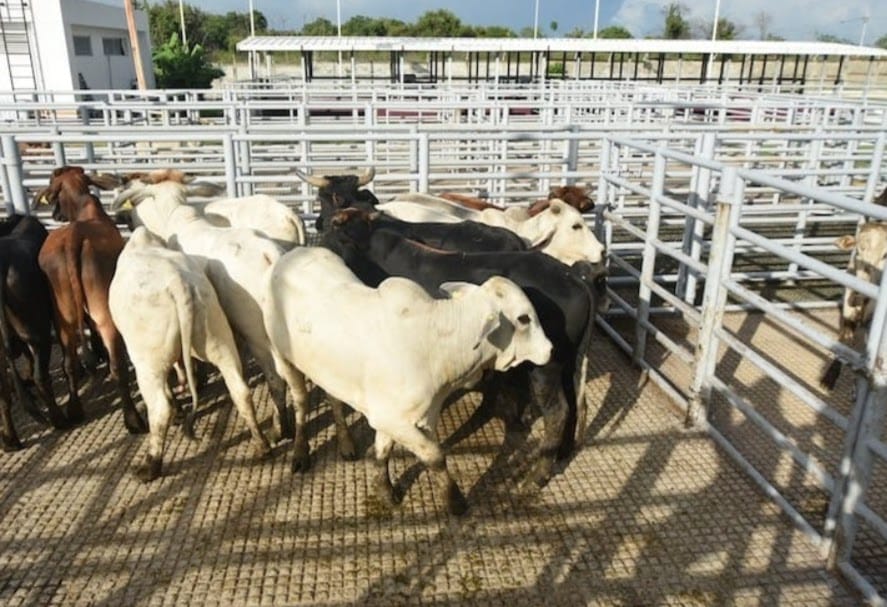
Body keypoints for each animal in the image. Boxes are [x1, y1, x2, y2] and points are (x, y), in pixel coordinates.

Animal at [34, 166, 147, 434]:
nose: (55, 214)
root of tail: (73, 239)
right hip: (97, 311)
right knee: (113, 365)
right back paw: (131, 418)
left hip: (63, 314)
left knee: (71, 362)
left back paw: (76, 411)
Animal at [109, 227, 272, 481]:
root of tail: (180, 284)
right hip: (216, 334)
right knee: (240, 390)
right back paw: (262, 446)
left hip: (148, 360)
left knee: (160, 406)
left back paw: (151, 465)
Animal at [262, 245, 552, 515]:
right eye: (523, 319)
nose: (549, 349)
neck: (434, 341)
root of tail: (291, 254)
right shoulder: (392, 419)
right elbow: (435, 456)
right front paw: (455, 501)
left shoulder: (411, 415)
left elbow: (383, 450)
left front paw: (385, 490)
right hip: (282, 356)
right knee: (301, 401)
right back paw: (301, 453)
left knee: (333, 397)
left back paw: (346, 443)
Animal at [324, 208, 607, 487]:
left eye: (340, 233)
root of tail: (573, 277)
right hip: (568, 362)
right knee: (574, 402)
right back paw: (561, 453)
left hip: (544, 366)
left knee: (558, 412)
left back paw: (537, 475)